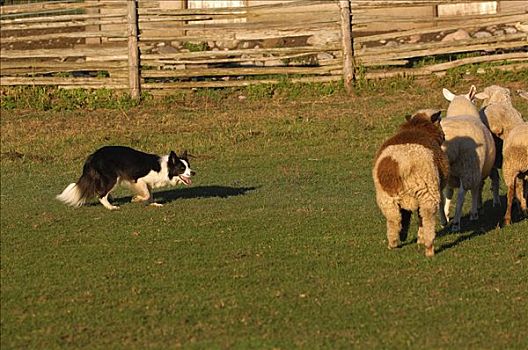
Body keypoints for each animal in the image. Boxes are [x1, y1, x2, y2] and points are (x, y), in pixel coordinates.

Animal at [55, 146, 194, 211]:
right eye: (182, 168)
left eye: (189, 166)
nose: (193, 173)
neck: (165, 168)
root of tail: (93, 155)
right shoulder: (139, 180)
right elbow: (146, 194)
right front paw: (136, 199)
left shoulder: (147, 183)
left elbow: (150, 194)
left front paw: (153, 203)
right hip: (112, 178)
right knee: (101, 195)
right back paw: (111, 207)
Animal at [372, 109, 450, 258]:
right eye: (439, 122)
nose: (444, 136)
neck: (417, 126)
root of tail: (401, 163)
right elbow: (419, 216)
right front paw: (420, 238)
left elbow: (407, 215)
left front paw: (406, 236)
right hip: (427, 191)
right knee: (427, 215)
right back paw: (429, 247)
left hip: (386, 197)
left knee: (394, 219)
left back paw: (393, 243)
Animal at [444, 85, 498, 232]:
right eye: (473, 99)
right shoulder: (476, 170)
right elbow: (476, 189)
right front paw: (475, 212)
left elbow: (448, 193)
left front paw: (446, 214)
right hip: (468, 167)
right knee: (462, 196)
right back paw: (457, 223)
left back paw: (443, 219)